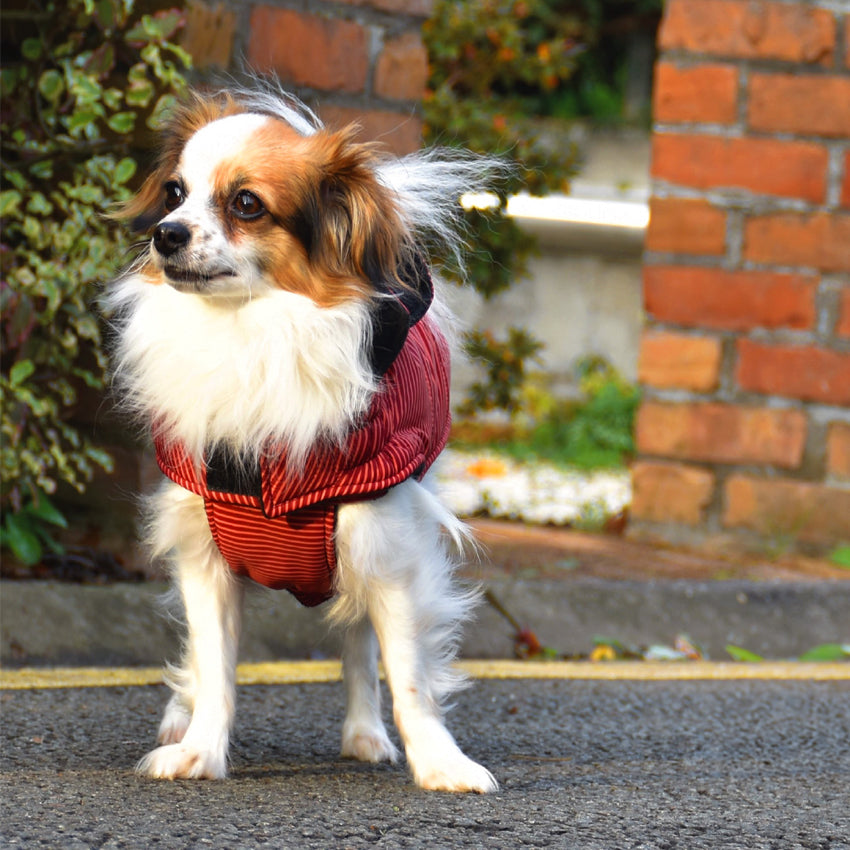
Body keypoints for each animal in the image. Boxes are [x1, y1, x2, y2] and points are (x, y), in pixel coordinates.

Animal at [108, 83, 500, 792]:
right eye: (175, 192)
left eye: (246, 204)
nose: (164, 234)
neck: (250, 332)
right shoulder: (206, 558)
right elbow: (216, 668)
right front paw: (200, 752)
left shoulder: (389, 553)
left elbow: (408, 679)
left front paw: (439, 763)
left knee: (358, 649)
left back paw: (365, 735)